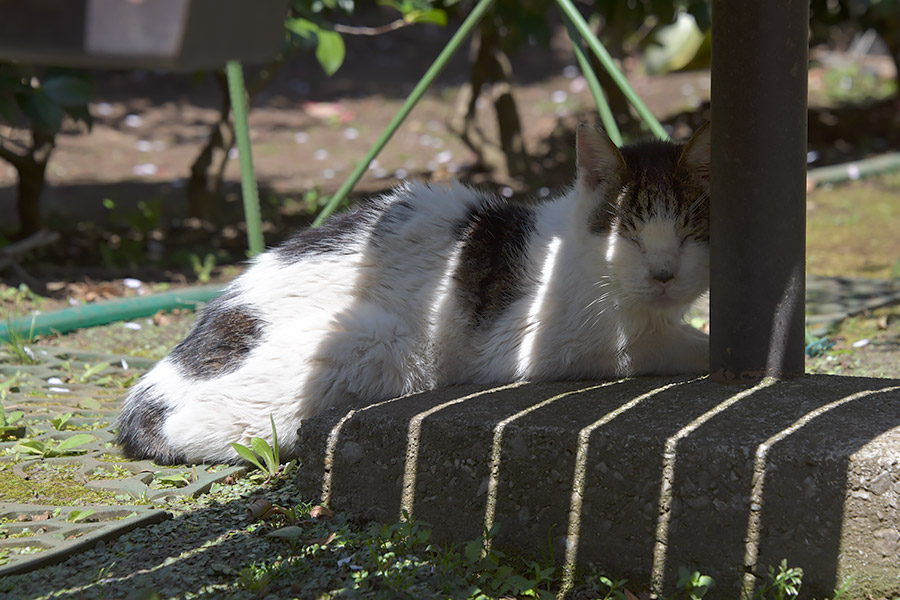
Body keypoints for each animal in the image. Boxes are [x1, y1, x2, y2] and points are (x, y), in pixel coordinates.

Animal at [118, 122, 712, 466]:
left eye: (689, 232)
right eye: (627, 234)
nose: (663, 272)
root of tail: (155, 385)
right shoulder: (541, 343)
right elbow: (658, 346)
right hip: (377, 338)